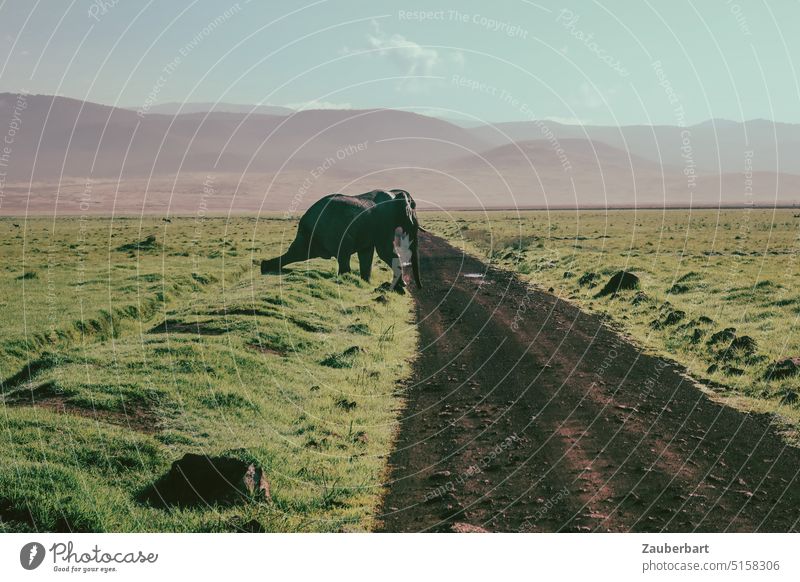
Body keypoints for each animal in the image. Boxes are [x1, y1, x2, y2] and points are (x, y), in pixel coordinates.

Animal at [262, 190, 424, 292]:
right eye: (413, 211)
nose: (420, 287)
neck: (395, 195)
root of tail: (305, 218)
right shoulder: (384, 221)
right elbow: (384, 252)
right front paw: (402, 286)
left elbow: (367, 253)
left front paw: (367, 282)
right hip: (333, 232)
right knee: (341, 253)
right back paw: (345, 277)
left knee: (297, 252)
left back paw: (265, 267)